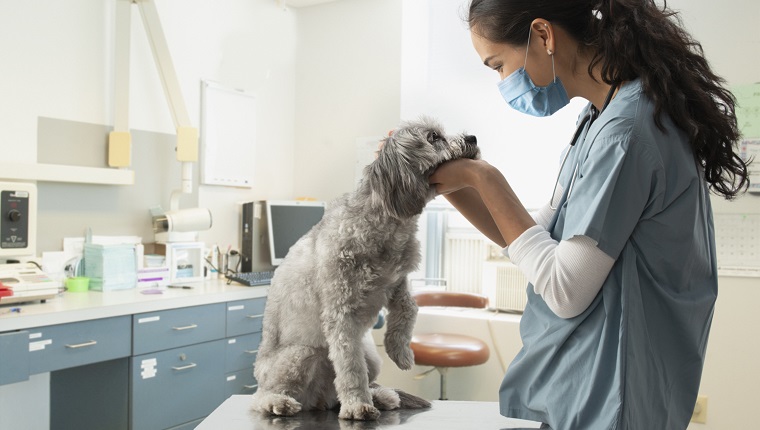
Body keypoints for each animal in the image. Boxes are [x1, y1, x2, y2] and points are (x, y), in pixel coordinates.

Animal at [252, 116, 478, 420]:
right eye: (434, 137)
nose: (473, 138)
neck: (385, 221)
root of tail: (320, 400)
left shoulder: (397, 282)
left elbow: (409, 308)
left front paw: (400, 351)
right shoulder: (341, 314)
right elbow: (350, 367)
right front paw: (358, 405)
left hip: (370, 356)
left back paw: (382, 396)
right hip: (300, 354)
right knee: (262, 396)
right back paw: (280, 402)